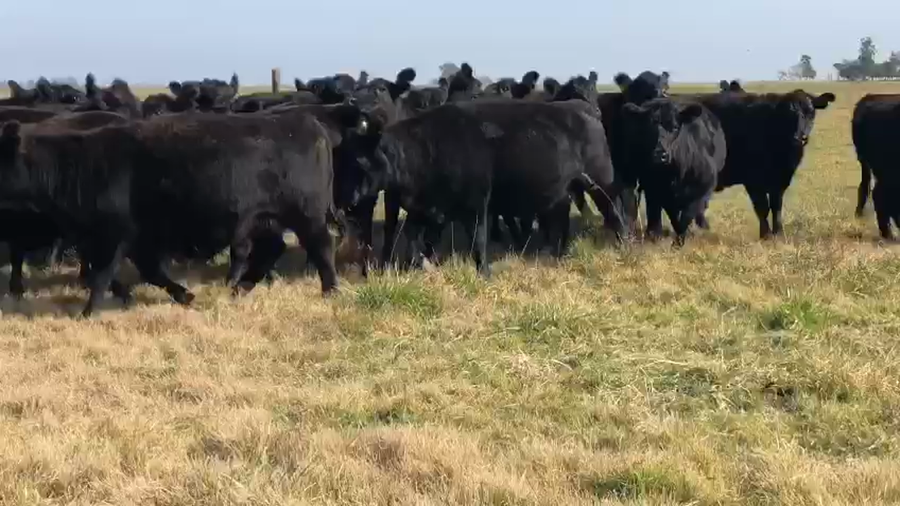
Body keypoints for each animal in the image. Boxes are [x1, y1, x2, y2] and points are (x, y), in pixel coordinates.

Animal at [0, 105, 369, 317]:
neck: (80, 165)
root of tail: (310, 123)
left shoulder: (113, 234)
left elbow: (104, 273)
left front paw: (89, 311)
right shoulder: (131, 238)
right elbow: (146, 272)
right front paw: (182, 295)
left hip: (306, 215)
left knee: (321, 246)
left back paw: (330, 290)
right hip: (266, 219)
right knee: (271, 250)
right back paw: (239, 288)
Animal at [621, 98, 727, 245]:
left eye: (675, 127)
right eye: (648, 128)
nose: (660, 155)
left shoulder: (702, 187)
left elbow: (688, 215)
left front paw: (680, 241)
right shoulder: (661, 192)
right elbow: (674, 217)